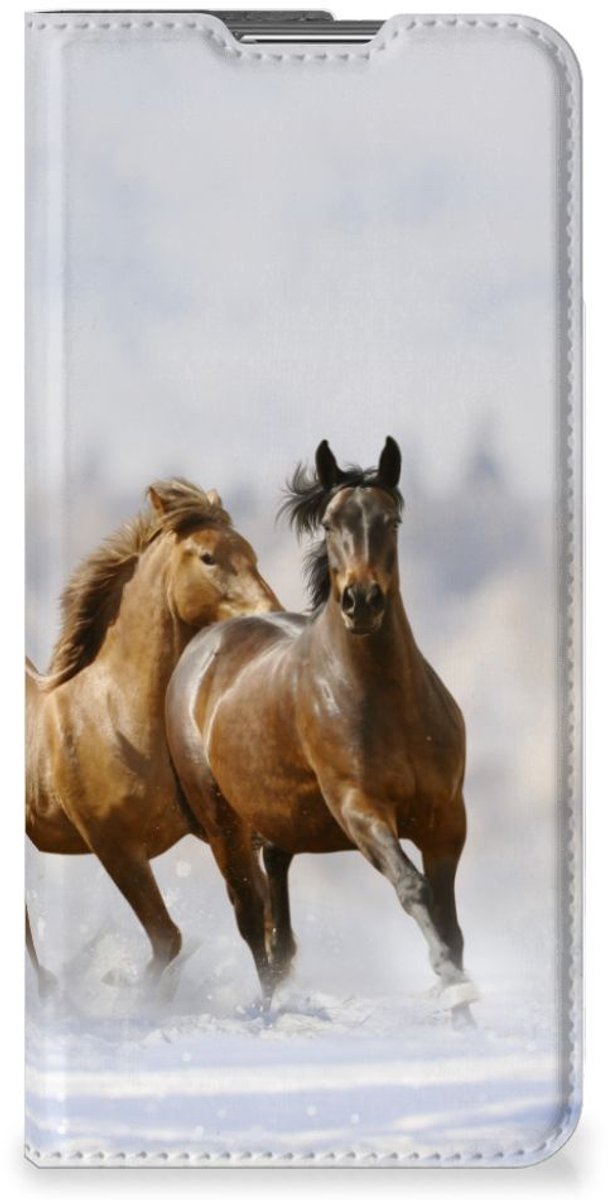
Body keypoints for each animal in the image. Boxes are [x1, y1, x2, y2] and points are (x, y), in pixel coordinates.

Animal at [26, 479, 280, 989]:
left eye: (251, 553)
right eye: (208, 557)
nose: (271, 613)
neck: (116, 716)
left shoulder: (222, 830)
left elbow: (257, 920)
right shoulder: (114, 845)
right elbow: (168, 939)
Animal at [166, 439, 478, 1027]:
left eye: (391, 520)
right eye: (331, 523)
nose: (362, 601)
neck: (386, 702)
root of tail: (203, 647)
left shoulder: (446, 818)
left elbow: (450, 920)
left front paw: (464, 1011)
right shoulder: (360, 809)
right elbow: (414, 888)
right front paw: (453, 987)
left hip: (278, 824)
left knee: (277, 917)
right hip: (224, 827)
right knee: (251, 918)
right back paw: (270, 1010)